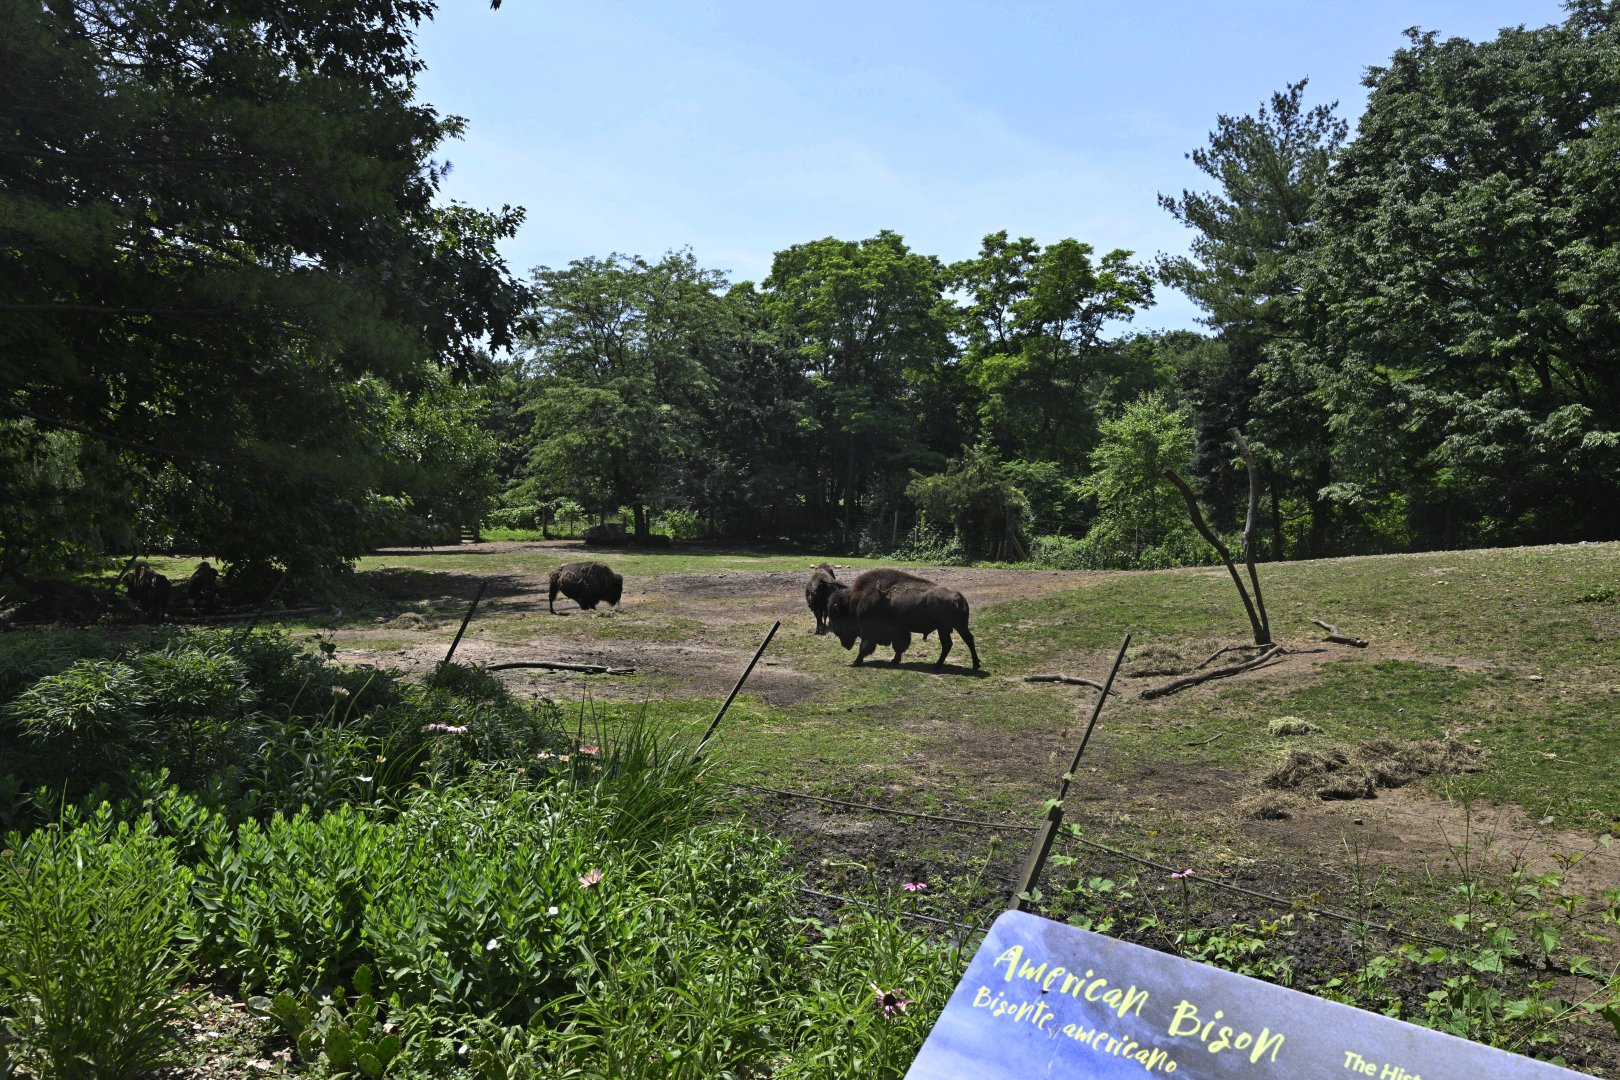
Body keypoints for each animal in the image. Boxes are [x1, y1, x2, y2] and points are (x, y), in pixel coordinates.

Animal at [825, 567, 980, 670]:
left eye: (836, 615)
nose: (834, 629)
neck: (857, 599)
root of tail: (958, 596)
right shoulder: (899, 631)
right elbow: (899, 646)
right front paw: (895, 661)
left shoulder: (869, 632)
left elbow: (864, 647)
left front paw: (855, 662)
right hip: (958, 626)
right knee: (966, 640)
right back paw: (974, 665)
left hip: (945, 628)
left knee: (950, 644)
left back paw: (939, 665)